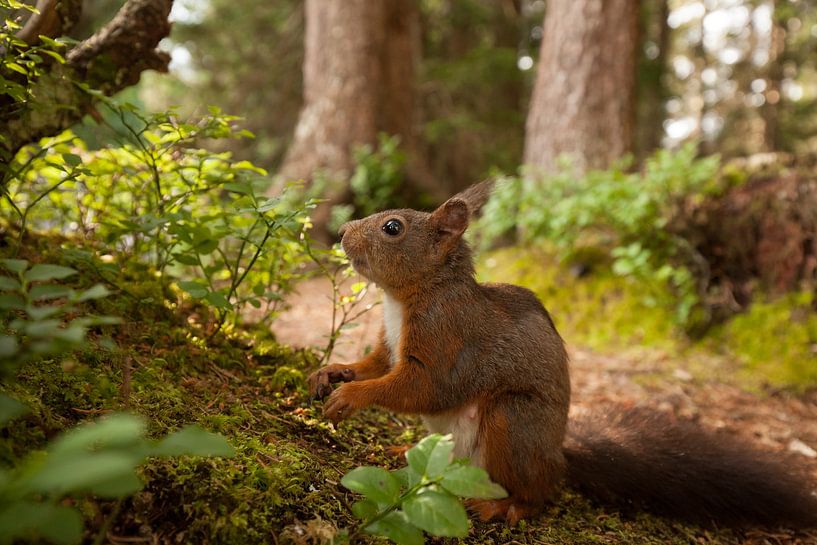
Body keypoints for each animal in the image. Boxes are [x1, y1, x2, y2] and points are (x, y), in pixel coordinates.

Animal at [308, 181, 817, 529]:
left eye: (392, 228)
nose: (342, 231)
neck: (408, 297)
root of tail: (559, 456)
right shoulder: (390, 343)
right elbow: (376, 365)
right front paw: (332, 371)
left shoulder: (449, 340)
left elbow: (423, 387)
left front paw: (351, 397)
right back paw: (404, 449)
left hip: (514, 423)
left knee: (536, 494)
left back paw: (501, 505)